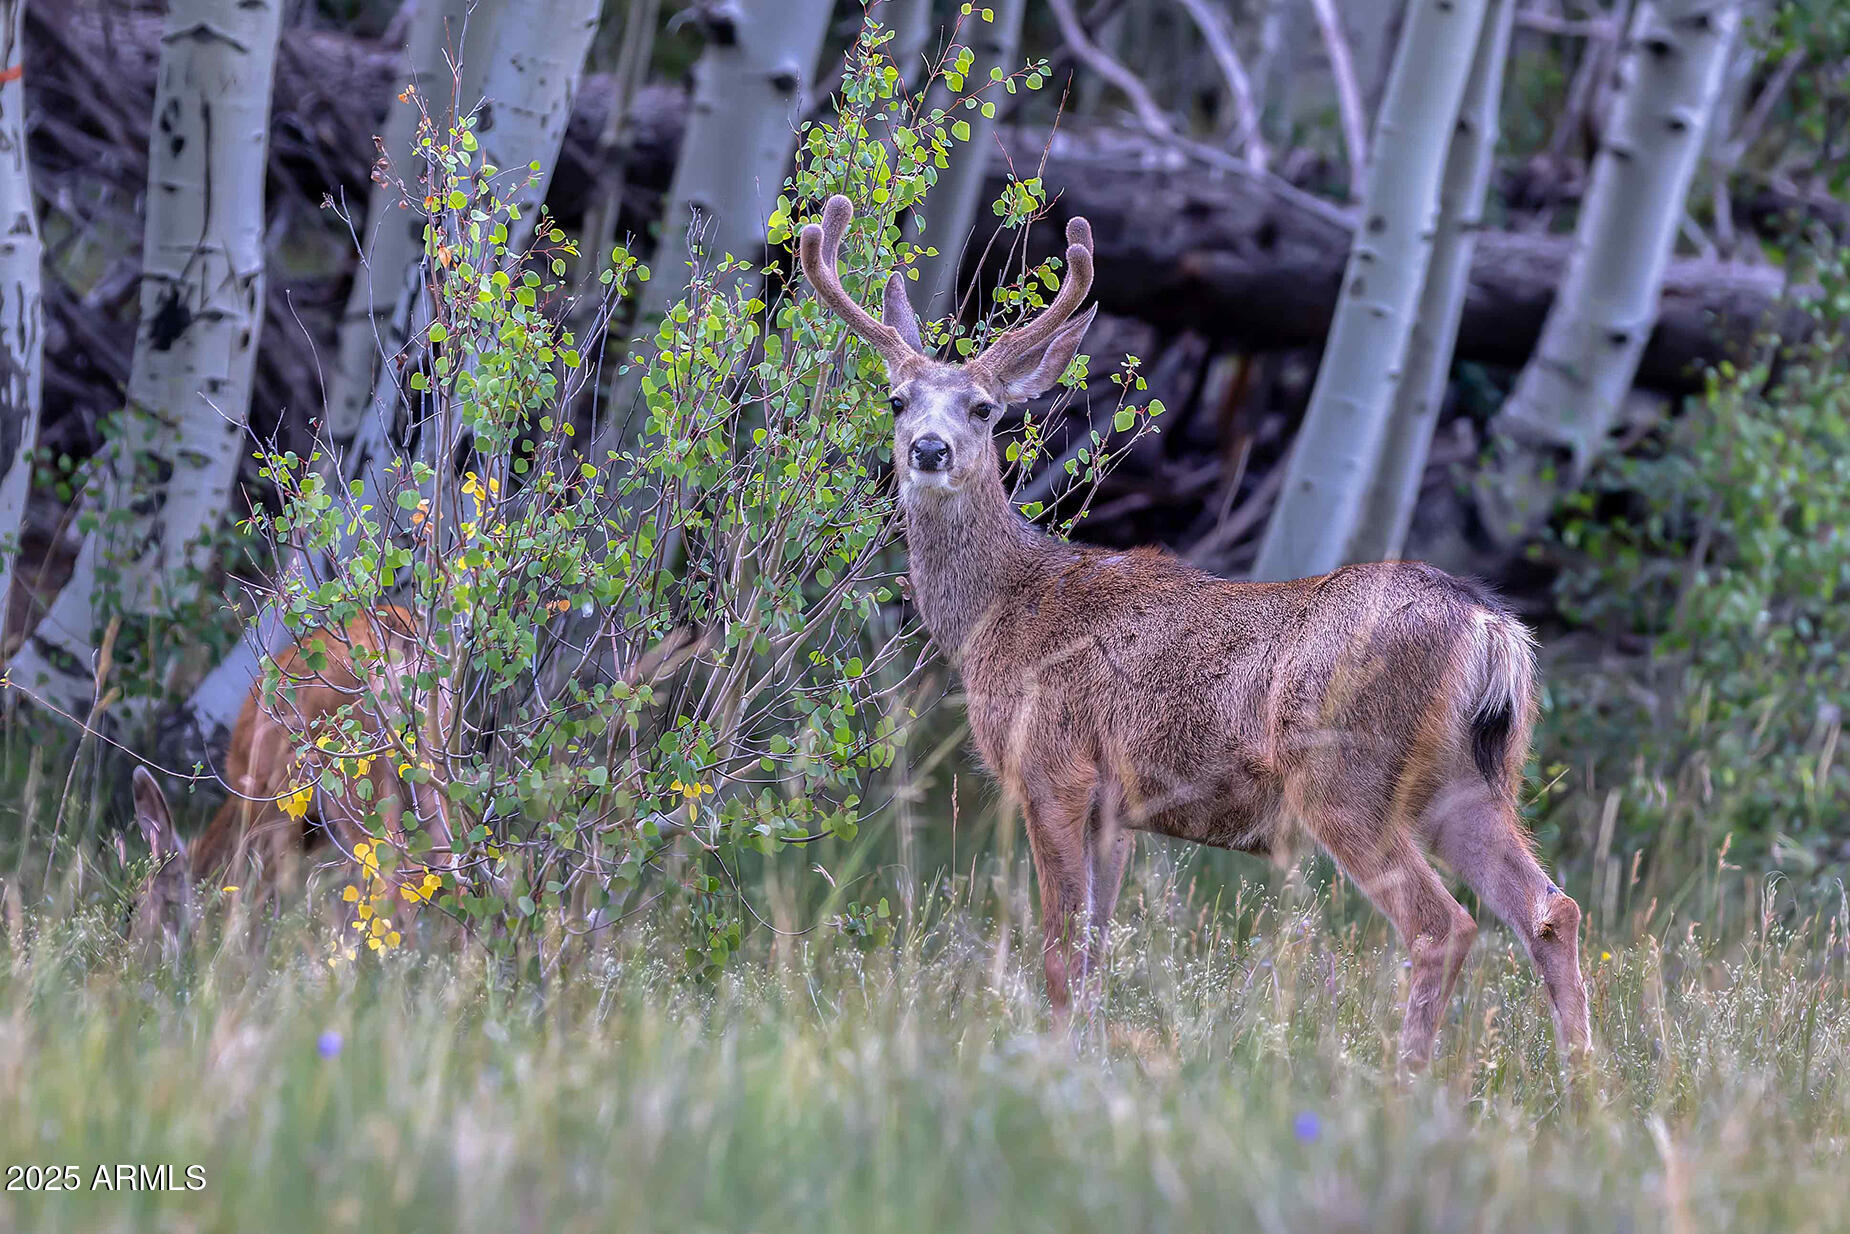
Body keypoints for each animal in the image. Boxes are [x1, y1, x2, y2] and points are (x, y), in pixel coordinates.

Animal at [124, 605, 457, 948]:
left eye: (132, 908)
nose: (129, 947)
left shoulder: (274, 814)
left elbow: (260, 895)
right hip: (432, 753)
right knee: (448, 863)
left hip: (353, 773)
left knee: (397, 873)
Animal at [799, 195, 1591, 1065]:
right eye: (897, 400)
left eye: (984, 407)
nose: (929, 449)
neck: (999, 613)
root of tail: (1489, 626)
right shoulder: (1114, 808)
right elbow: (1094, 952)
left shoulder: (1053, 768)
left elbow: (1059, 952)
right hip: (1469, 780)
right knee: (1551, 910)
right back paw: (1583, 1080)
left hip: (1345, 772)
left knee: (1442, 925)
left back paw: (1404, 1079)